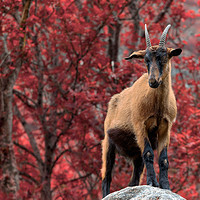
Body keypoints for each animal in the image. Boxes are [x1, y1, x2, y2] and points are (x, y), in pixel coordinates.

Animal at [101, 24, 181, 198]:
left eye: (163, 58)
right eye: (146, 60)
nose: (153, 81)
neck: (157, 106)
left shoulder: (166, 127)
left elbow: (163, 159)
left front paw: (165, 186)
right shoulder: (140, 125)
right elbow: (149, 154)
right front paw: (153, 183)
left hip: (135, 154)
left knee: (134, 178)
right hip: (108, 143)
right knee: (106, 175)